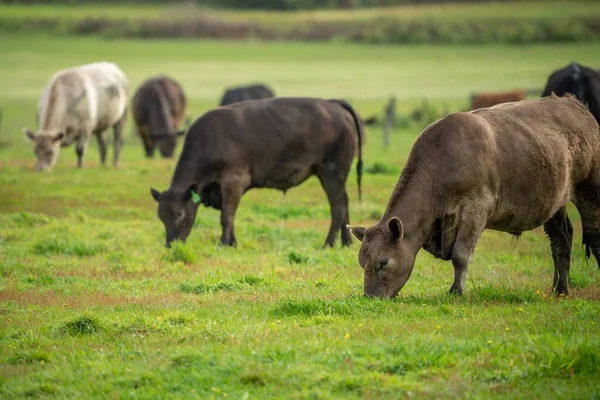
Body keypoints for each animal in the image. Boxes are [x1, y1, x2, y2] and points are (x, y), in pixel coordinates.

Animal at [152, 97, 364, 247]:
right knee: (344, 202)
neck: (207, 142)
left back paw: (328, 243)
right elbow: (230, 215)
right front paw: (232, 243)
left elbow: (226, 216)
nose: (170, 244)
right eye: (161, 216)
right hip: (336, 176)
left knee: (337, 207)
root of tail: (334, 103)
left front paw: (223, 243)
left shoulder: (233, 181)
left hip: (330, 173)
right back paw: (346, 242)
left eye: (179, 213)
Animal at [350, 95, 600, 298]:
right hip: (555, 202)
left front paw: (456, 291)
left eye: (384, 261)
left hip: (590, 191)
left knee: (594, 234)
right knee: (561, 240)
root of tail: (576, 106)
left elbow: (461, 254)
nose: (370, 297)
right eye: (362, 261)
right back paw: (560, 289)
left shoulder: (476, 208)